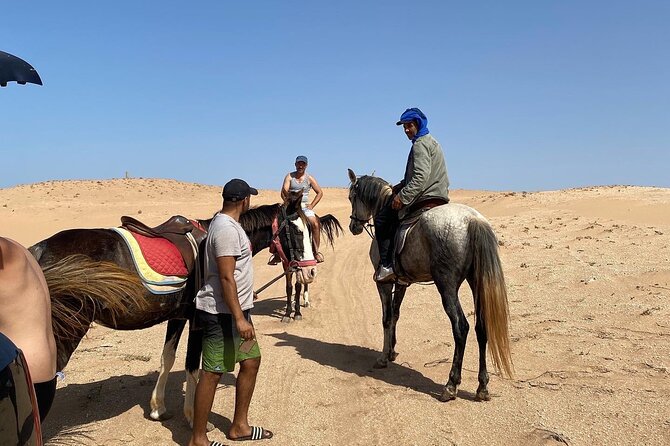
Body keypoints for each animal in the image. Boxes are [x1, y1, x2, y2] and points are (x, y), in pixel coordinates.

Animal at [29, 197, 342, 426]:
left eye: (311, 229)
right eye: (296, 231)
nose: (310, 272)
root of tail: (37, 251)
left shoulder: (178, 316)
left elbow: (167, 357)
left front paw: (158, 408)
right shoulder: (197, 319)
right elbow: (192, 364)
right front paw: (192, 416)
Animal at [346, 169, 513, 402]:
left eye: (352, 197)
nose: (353, 226)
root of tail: (472, 220)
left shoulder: (384, 283)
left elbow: (386, 319)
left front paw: (383, 357)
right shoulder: (402, 283)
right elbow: (396, 315)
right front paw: (392, 351)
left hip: (447, 285)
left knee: (461, 327)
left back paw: (451, 385)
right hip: (476, 283)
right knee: (481, 327)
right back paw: (482, 387)